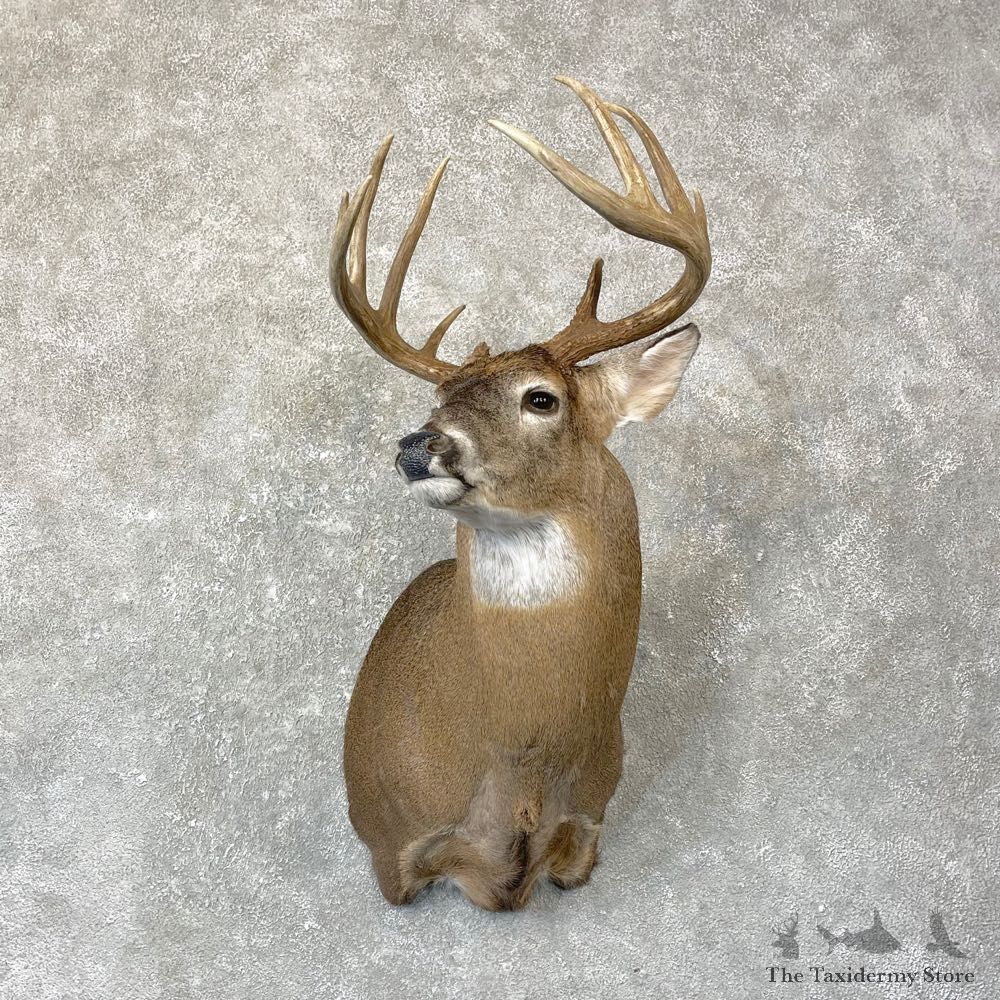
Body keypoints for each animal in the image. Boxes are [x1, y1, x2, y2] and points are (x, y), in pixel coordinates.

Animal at [329, 77, 711, 910]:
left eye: (542, 398)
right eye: (439, 401)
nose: (419, 446)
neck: (522, 772)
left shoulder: (590, 828)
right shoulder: (389, 848)